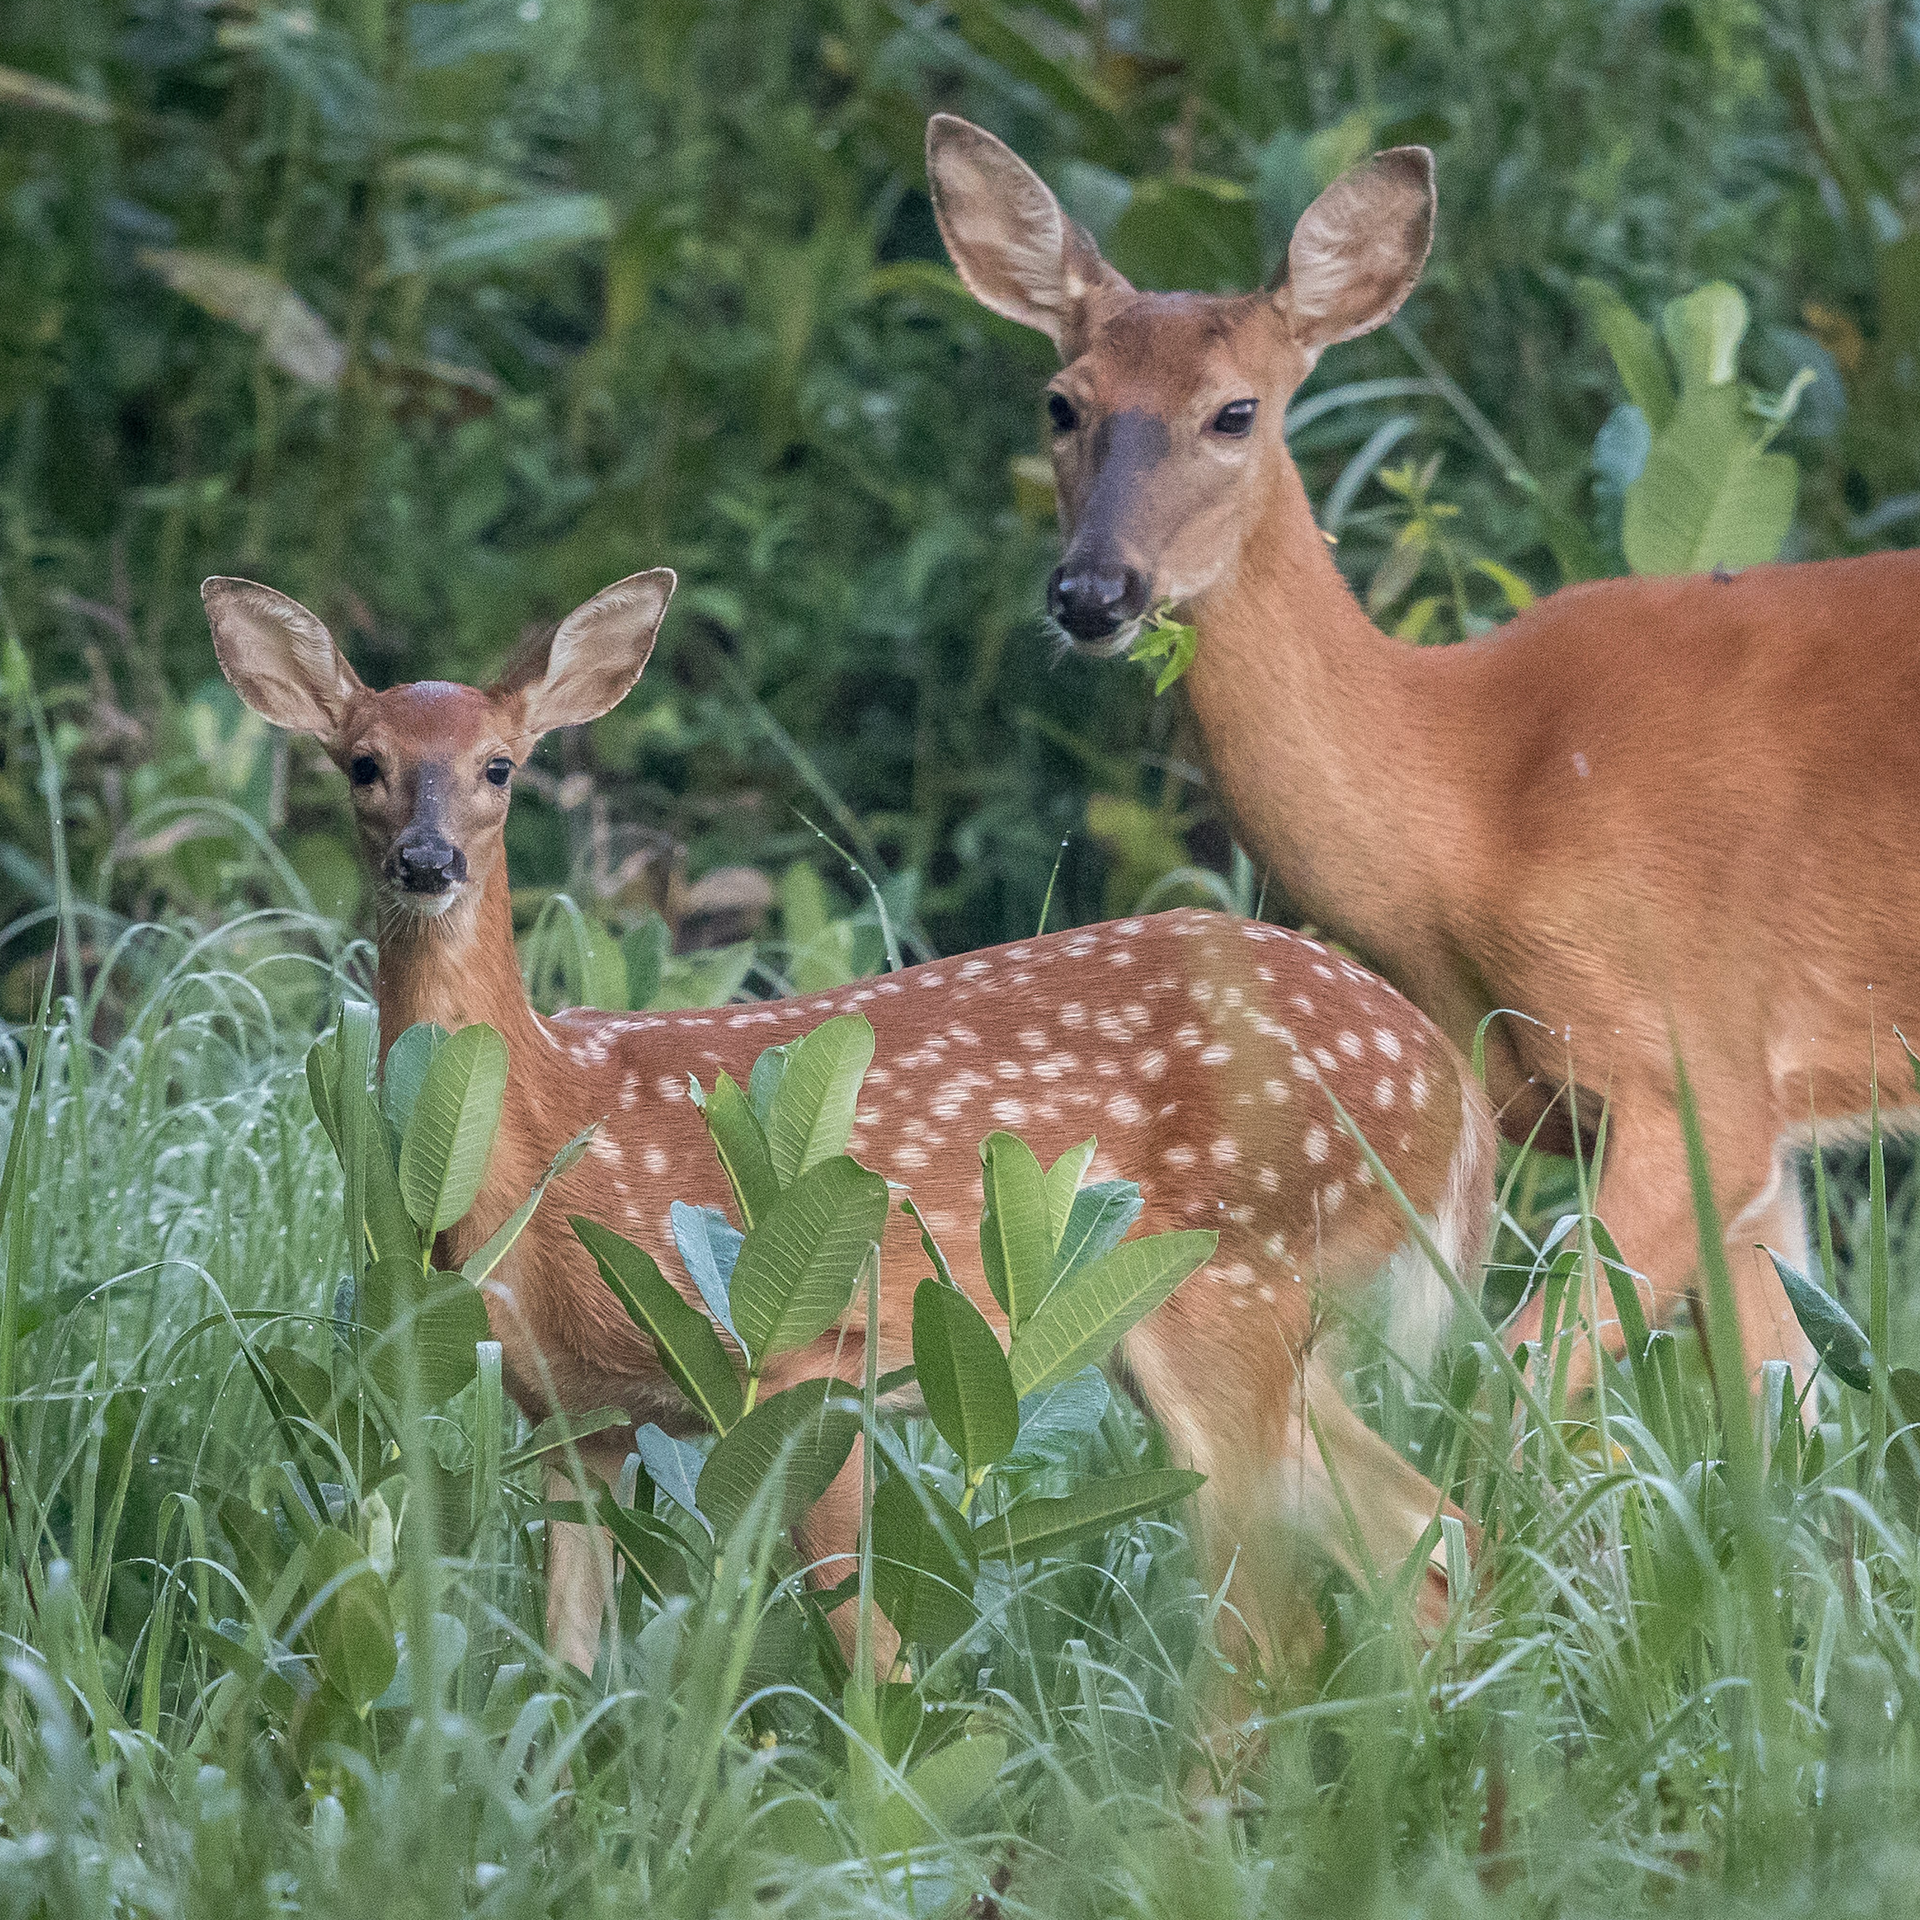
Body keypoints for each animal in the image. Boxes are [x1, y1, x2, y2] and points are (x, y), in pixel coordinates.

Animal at [201, 566, 1495, 1681]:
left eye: (502, 767)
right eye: (362, 763)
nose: (428, 862)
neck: (549, 1127)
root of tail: (1453, 1096)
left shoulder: (803, 1365)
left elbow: (870, 1646)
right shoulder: (575, 1414)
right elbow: (567, 1659)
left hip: (1235, 1287)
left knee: (1276, 1629)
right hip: (1254, 1327)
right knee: (1431, 1535)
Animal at [925, 110, 1920, 1398]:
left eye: (1236, 411)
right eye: (1061, 402)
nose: (1095, 592)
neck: (1477, 807)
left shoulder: (1693, 1063)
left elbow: (1516, 1383)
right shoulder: (1728, 1126)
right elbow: (1788, 1405)